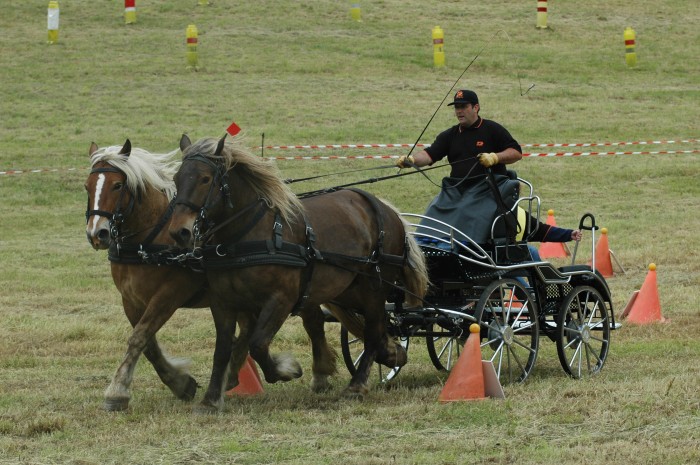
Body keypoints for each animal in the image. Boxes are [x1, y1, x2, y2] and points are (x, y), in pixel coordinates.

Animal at [171, 134, 432, 410]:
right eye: (177, 178)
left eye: (205, 179)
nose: (180, 232)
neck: (246, 236)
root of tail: (388, 210)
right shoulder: (223, 301)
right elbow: (222, 350)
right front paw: (211, 399)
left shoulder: (281, 299)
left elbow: (258, 344)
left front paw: (285, 370)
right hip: (346, 289)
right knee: (376, 326)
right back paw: (390, 354)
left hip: (374, 287)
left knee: (372, 331)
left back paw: (357, 385)